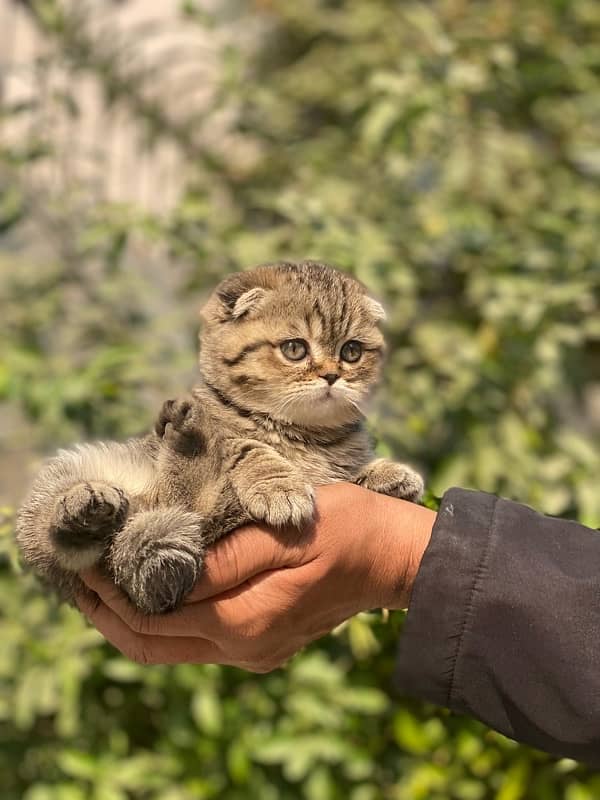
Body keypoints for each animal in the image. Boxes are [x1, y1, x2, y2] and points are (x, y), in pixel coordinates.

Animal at [16, 262, 424, 612]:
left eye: (351, 352)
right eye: (295, 349)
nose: (331, 376)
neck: (303, 435)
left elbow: (349, 470)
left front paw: (388, 474)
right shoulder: (233, 437)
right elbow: (246, 446)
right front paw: (279, 485)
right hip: (61, 496)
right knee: (62, 535)